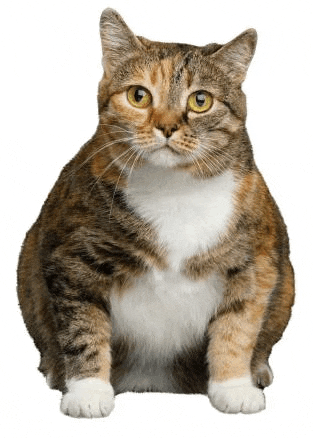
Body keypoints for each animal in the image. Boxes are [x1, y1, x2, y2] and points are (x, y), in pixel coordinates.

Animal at [17, 7, 294, 418]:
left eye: (200, 100)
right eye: (138, 95)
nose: (166, 126)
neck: (174, 188)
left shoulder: (255, 260)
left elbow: (239, 325)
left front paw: (233, 387)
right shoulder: (72, 258)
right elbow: (84, 326)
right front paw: (88, 392)